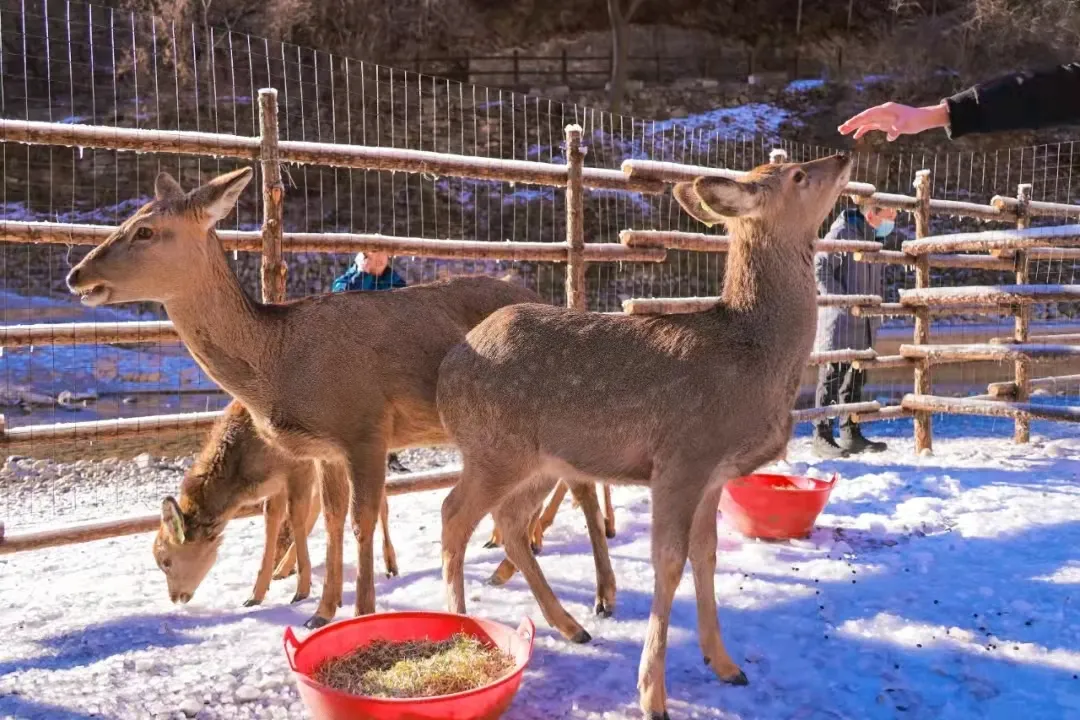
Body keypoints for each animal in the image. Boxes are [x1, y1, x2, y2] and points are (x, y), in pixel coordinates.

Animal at [154, 399, 399, 608]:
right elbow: (271, 518)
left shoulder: (299, 466)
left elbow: (296, 516)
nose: (176, 597)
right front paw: (255, 595)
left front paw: (301, 591)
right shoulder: (278, 483)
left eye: (166, 561)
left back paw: (391, 565)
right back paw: (282, 569)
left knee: (380, 502)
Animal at [432, 152, 851, 716]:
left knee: (512, 524)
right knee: (454, 513)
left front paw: (726, 665)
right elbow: (668, 562)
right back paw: (461, 621)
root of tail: (448, 369)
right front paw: (653, 694)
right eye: (798, 175)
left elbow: (706, 556)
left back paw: (571, 626)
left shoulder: (713, 475)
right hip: (493, 448)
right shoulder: (682, 458)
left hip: (539, 462)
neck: (754, 362)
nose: (844, 154)